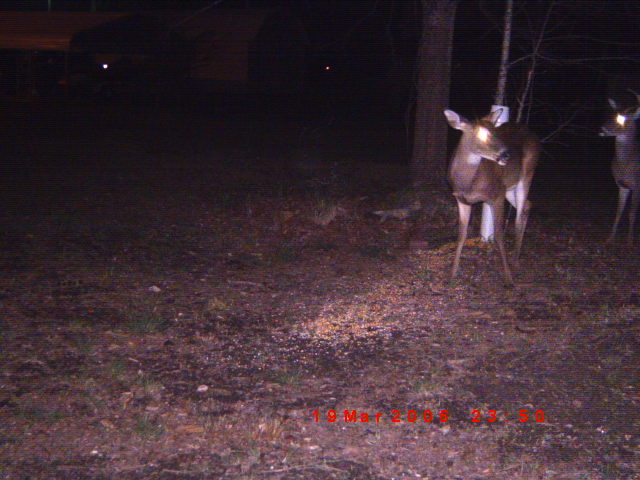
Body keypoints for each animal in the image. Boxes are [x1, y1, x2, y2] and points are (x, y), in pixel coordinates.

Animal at [444, 108, 541, 286]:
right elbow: (461, 235)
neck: (468, 183)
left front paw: (508, 278)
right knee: (528, 205)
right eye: (482, 133)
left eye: (496, 132)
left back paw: (514, 263)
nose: (506, 154)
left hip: (526, 175)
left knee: (518, 217)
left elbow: (499, 234)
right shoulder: (461, 200)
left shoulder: (497, 195)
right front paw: (452, 274)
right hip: (510, 186)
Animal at [599, 91, 640, 246]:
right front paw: (610, 238)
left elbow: (632, 213)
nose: (603, 129)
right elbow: (619, 211)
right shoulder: (622, 185)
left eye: (622, 119)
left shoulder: (637, 186)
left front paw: (630, 241)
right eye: (612, 114)